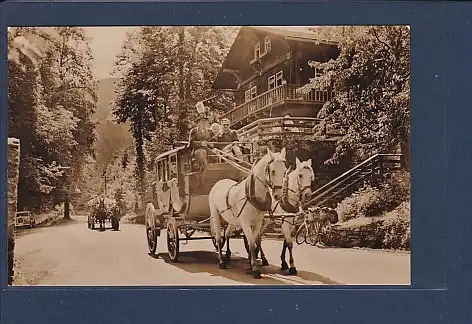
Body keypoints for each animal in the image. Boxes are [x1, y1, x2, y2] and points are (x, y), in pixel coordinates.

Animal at [208, 147, 286, 278]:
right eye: (273, 171)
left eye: (285, 172)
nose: (278, 196)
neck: (253, 195)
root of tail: (218, 183)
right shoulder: (245, 223)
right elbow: (252, 244)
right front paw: (254, 269)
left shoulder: (258, 222)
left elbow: (253, 243)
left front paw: (250, 265)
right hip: (215, 215)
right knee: (218, 237)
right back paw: (221, 261)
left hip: (232, 219)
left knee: (227, 235)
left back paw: (227, 256)